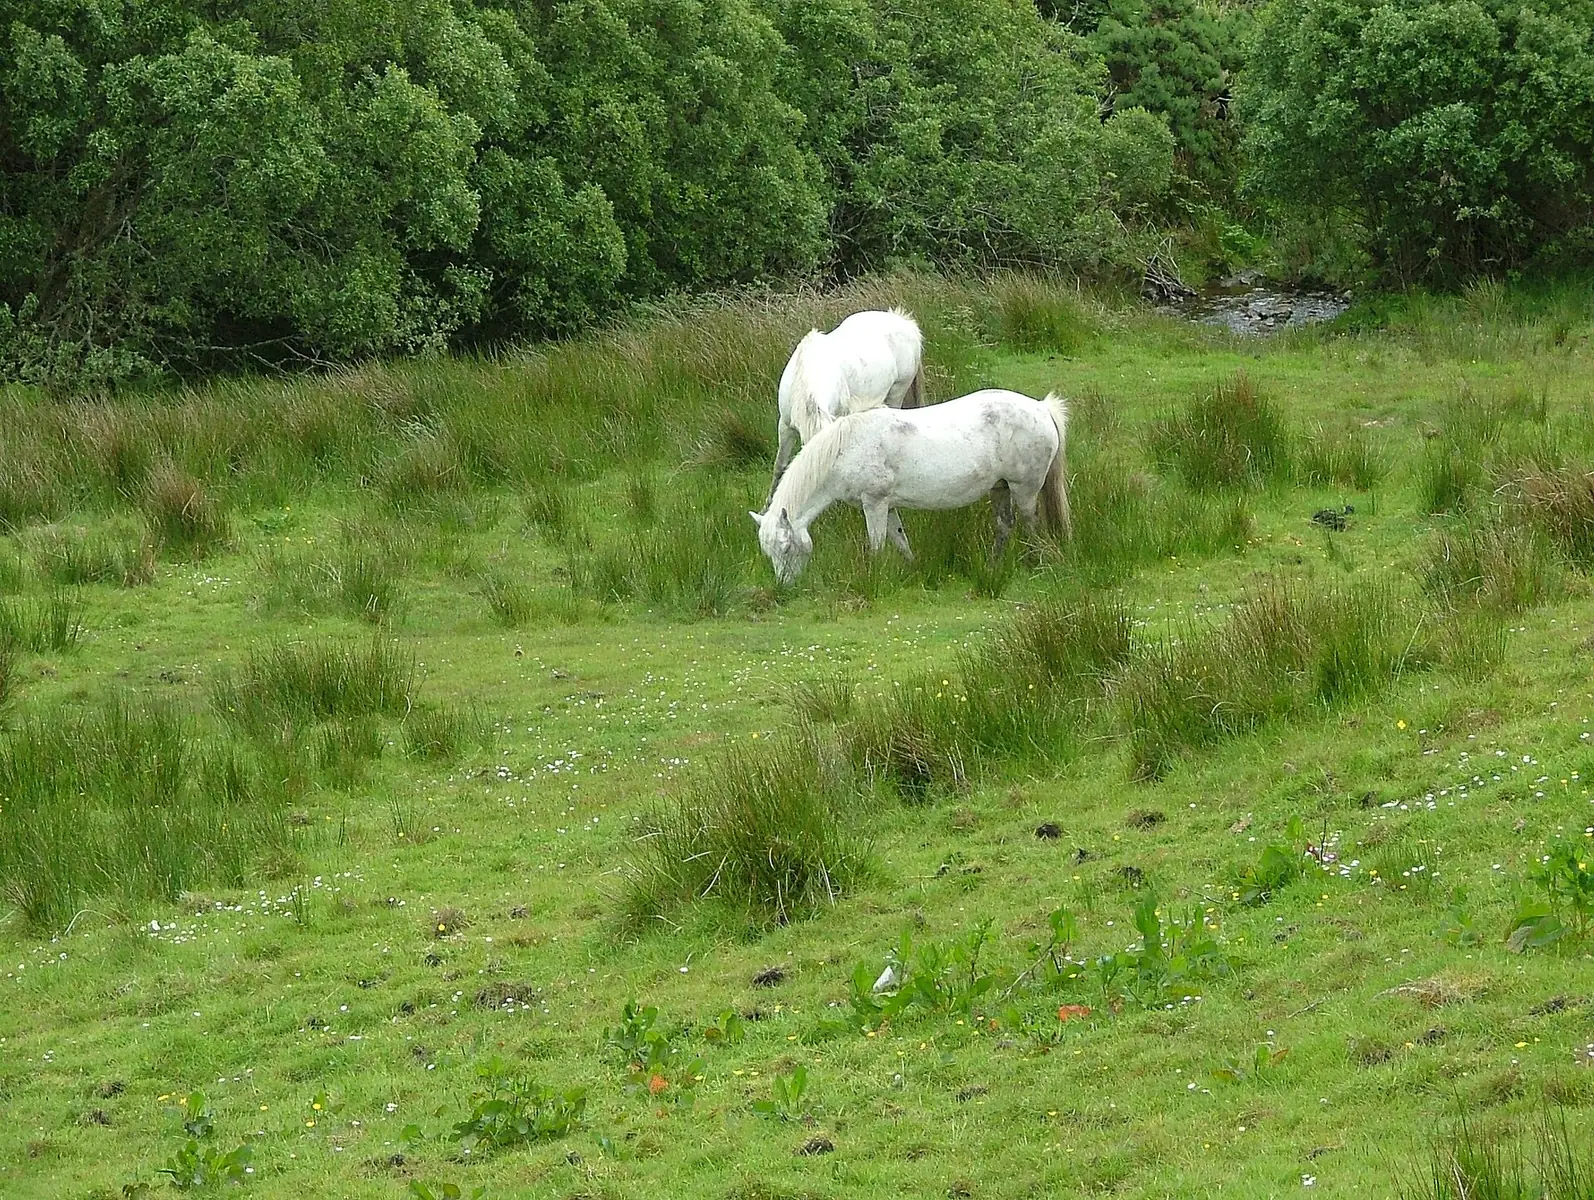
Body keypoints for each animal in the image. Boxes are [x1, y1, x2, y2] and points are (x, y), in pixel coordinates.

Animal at [751, 389, 1070, 584]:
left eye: (786, 548)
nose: (784, 587)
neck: (846, 447)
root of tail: (1041, 408)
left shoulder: (874, 503)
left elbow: (877, 543)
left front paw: (875, 579)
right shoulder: (886, 505)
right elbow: (899, 539)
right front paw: (914, 570)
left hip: (1024, 489)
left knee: (1031, 525)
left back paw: (1036, 564)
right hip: (1000, 488)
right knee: (1005, 525)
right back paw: (993, 569)